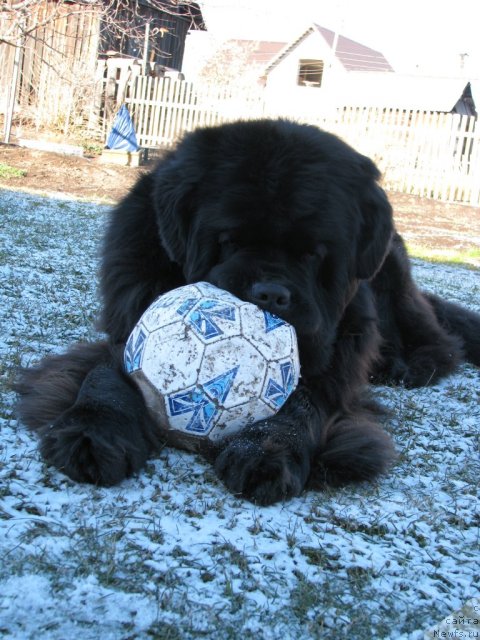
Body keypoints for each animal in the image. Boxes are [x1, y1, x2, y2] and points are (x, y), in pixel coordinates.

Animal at [15, 117, 480, 502]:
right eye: (230, 240)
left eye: (312, 253)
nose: (270, 293)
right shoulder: (129, 323)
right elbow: (106, 375)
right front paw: (92, 432)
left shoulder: (336, 361)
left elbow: (303, 403)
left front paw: (266, 451)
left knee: (435, 337)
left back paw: (411, 364)